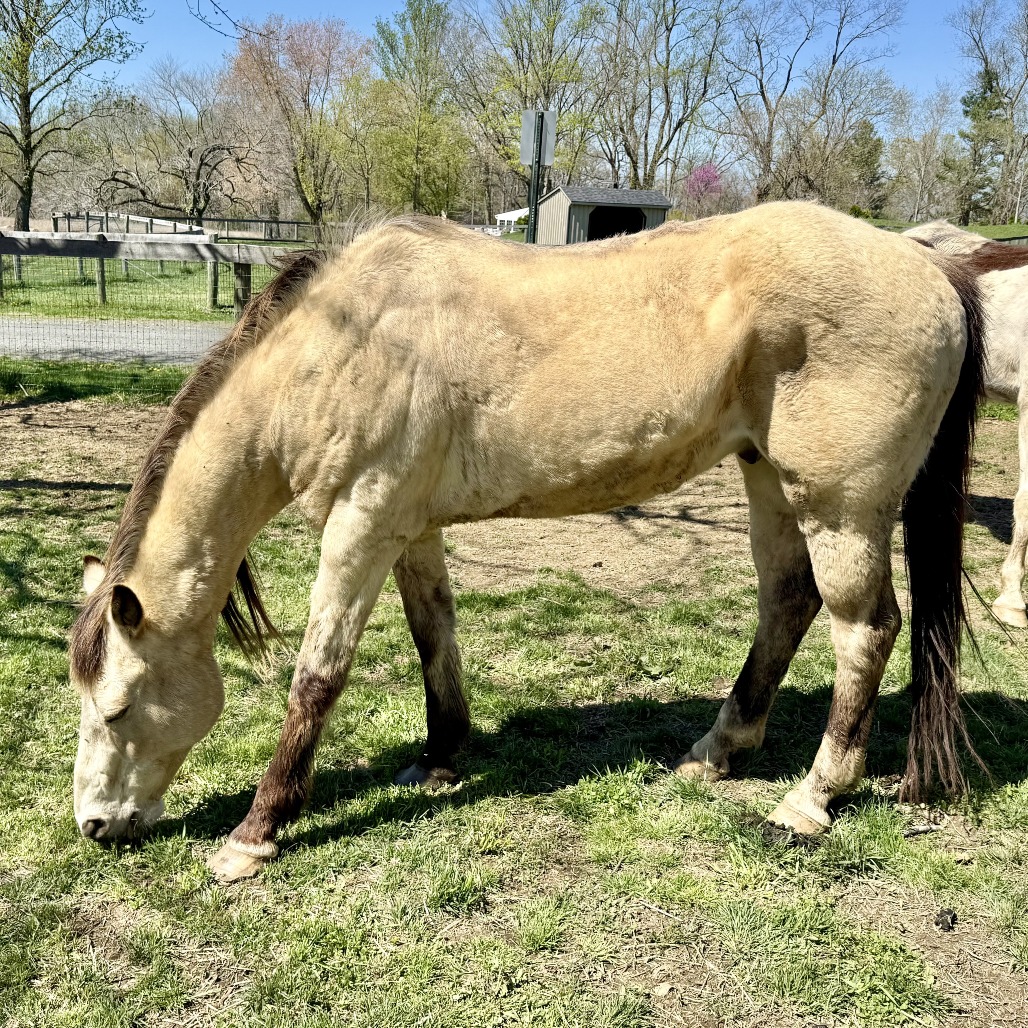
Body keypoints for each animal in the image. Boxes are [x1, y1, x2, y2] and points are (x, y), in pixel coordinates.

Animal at [70, 201, 988, 883]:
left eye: (117, 707)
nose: (94, 826)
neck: (344, 343)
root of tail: (925, 263)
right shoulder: (408, 530)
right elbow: (434, 638)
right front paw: (441, 759)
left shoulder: (358, 528)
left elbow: (317, 680)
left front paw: (255, 833)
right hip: (768, 480)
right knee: (786, 603)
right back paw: (718, 751)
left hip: (840, 508)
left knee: (866, 630)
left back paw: (811, 799)